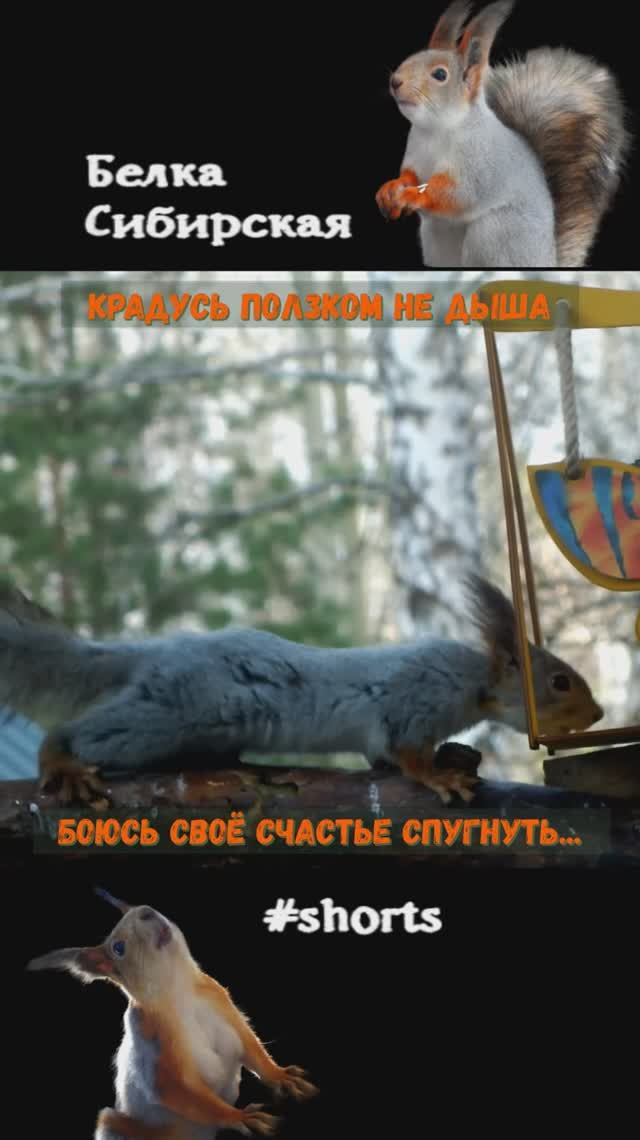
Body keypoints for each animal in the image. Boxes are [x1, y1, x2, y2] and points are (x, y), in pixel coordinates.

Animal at [0, 574, 603, 807]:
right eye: (560, 681)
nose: (597, 713)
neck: (473, 682)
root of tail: (153, 652)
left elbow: (383, 757)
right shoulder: (415, 700)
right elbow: (407, 752)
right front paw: (441, 777)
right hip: (166, 716)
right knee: (80, 732)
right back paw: (61, 761)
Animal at [27, 887, 318, 1139]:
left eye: (141, 906)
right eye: (118, 948)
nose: (146, 912)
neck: (178, 988)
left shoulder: (222, 1003)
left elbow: (251, 1047)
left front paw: (281, 1077)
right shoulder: (151, 1041)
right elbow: (179, 1090)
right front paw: (240, 1117)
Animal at [375, 0, 631, 267]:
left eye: (440, 75)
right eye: (410, 58)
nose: (395, 81)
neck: (437, 129)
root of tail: (548, 260)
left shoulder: (480, 163)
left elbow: (459, 193)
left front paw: (412, 196)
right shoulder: (415, 153)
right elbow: (409, 175)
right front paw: (390, 189)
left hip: (495, 234)